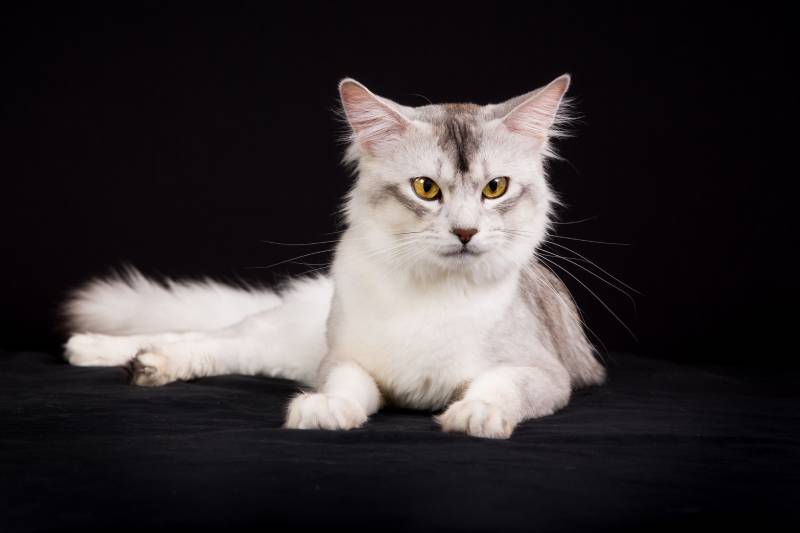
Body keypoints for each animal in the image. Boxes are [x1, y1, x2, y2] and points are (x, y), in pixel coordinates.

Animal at [64, 76, 608, 440]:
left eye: (495, 188)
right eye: (426, 188)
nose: (466, 232)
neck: (434, 293)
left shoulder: (546, 373)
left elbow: (499, 387)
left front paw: (476, 416)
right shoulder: (344, 359)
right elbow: (348, 387)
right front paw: (325, 410)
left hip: (285, 351)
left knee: (212, 343)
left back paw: (139, 361)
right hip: (290, 337)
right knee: (207, 336)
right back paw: (99, 350)